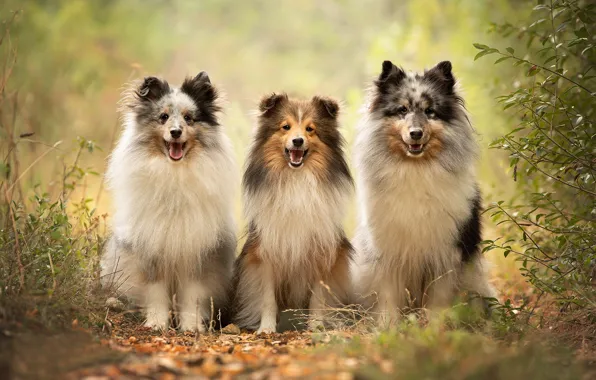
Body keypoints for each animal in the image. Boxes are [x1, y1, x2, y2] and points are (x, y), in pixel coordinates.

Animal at [101, 72, 236, 332]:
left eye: (188, 118)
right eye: (163, 117)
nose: (175, 132)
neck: (175, 173)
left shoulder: (195, 253)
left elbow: (192, 295)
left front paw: (191, 326)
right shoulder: (152, 251)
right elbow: (155, 293)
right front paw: (157, 323)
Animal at [232, 94, 354, 332]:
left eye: (310, 129)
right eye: (285, 127)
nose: (298, 141)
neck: (296, 177)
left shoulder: (321, 250)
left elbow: (318, 297)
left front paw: (316, 326)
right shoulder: (266, 251)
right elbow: (267, 298)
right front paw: (266, 328)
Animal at [352, 60, 496, 322]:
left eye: (430, 112)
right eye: (402, 110)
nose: (416, 133)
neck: (415, 171)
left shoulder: (443, 254)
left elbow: (438, 299)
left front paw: (434, 325)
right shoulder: (389, 252)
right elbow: (389, 295)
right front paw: (388, 325)